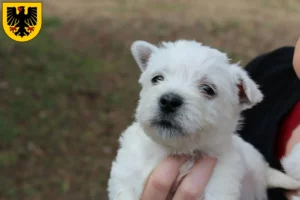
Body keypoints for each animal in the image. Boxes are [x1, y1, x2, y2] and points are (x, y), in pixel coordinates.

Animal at [107, 39, 300, 199]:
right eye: (157, 78)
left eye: (208, 89)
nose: (169, 101)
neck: (178, 151)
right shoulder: (125, 177)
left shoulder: (219, 188)